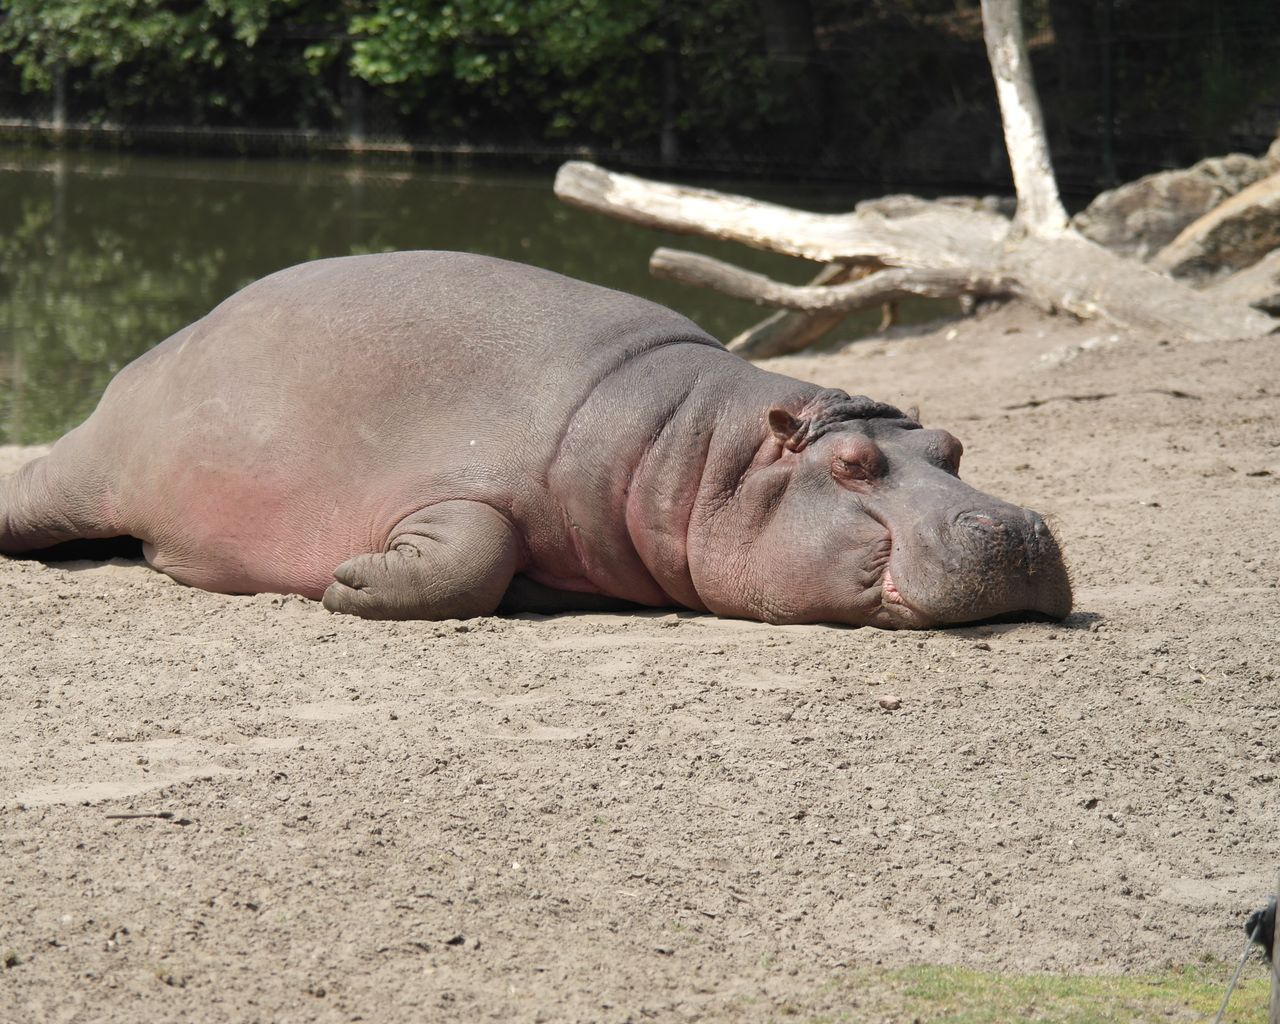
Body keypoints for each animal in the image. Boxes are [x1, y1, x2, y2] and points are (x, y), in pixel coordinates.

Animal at [0, 252, 1070, 627]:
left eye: (954, 446)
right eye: (851, 465)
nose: (1015, 529)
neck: (694, 451)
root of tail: (149, 356)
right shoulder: (456, 488)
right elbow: (471, 554)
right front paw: (348, 582)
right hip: (90, 472)